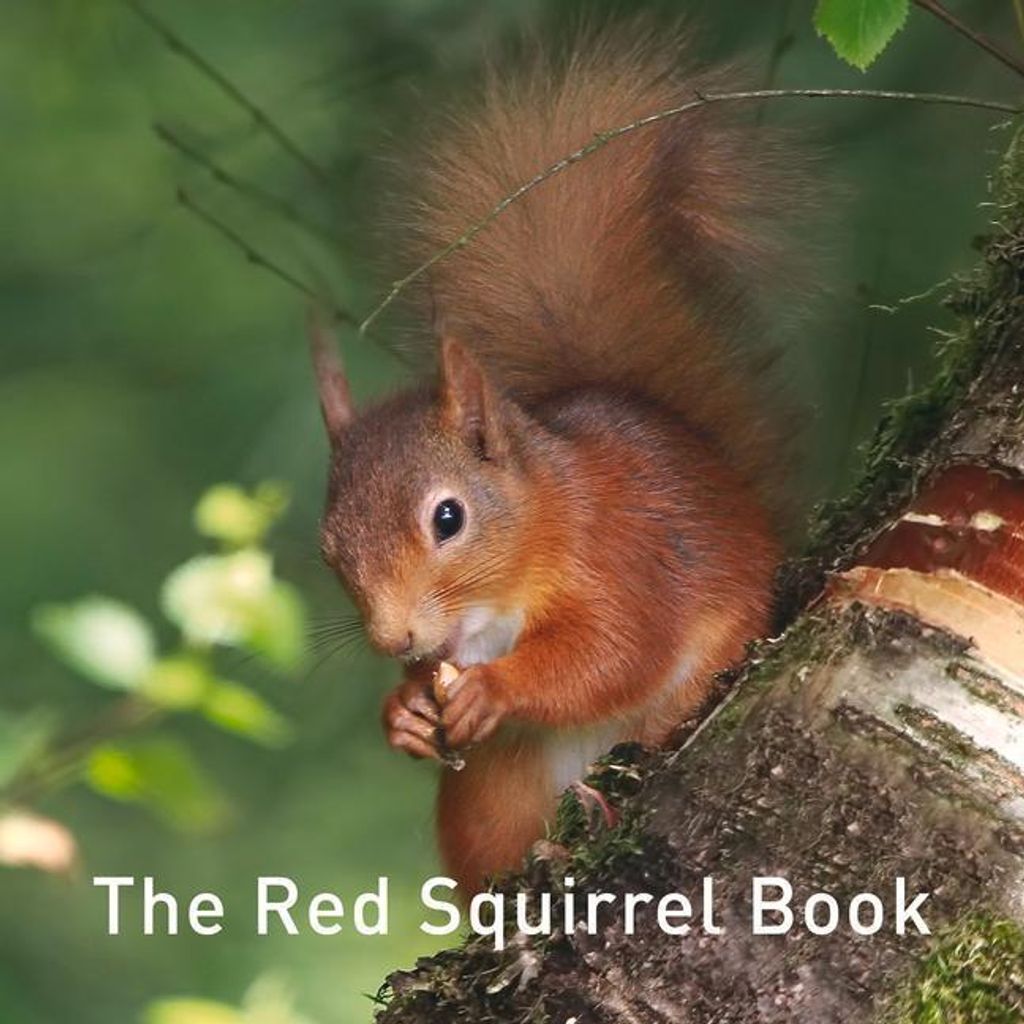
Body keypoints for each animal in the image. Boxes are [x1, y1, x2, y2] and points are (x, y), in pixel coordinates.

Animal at [312, 26, 804, 896]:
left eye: (448, 517)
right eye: (328, 549)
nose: (395, 641)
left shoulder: (624, 553)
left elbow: (615, 649)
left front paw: (493, 689)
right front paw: (403, 710)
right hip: (492, 793)